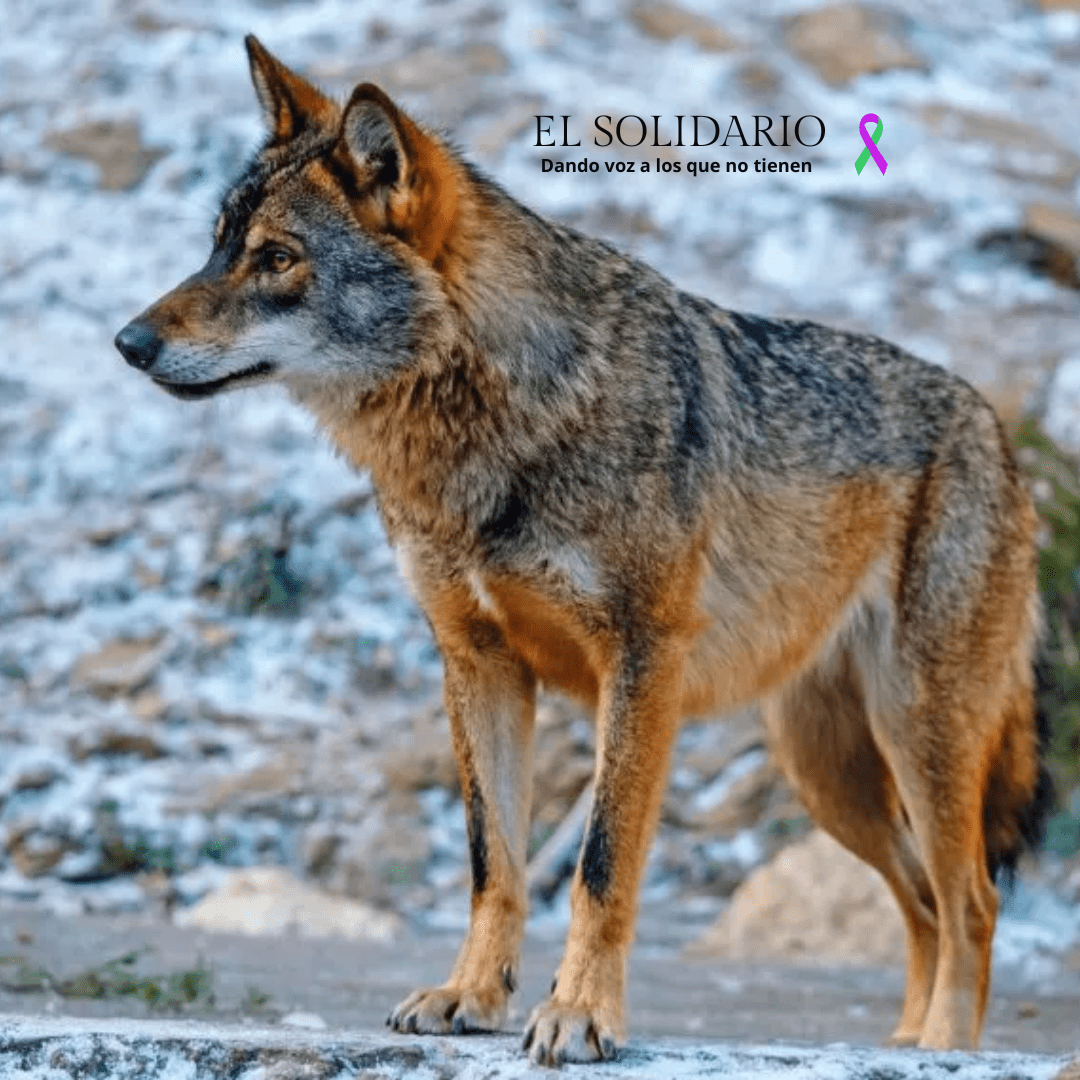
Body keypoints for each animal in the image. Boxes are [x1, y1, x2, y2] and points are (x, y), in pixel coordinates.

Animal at [114, 37, 1052, 1065]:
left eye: (278, 258)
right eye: (216, 245)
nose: (127, 341)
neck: (496, 428)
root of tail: (993, 427)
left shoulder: (640, 665)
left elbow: (600, 867)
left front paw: (580, 1014)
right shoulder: (478, 664)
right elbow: (494, 863)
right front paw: (471, 996)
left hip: (918, 738)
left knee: (973, 900)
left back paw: (946, 1049)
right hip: (829, 775)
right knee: (922, 901)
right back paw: (906, 1041)